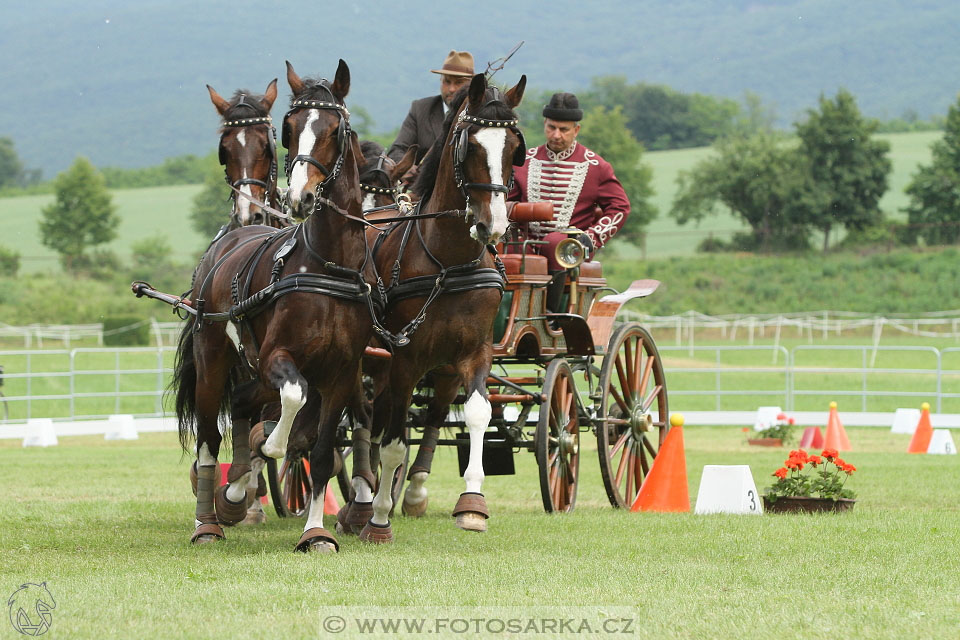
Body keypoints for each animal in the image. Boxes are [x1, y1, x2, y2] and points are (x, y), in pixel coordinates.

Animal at [172, 57, 372, 552]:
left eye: (335, 129)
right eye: (289, 128)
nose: (301, 197)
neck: (328, 264)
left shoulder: (342, 373)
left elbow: (321, 453)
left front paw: (316, 532)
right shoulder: (275, 358)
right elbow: (290, 405)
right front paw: (270, 452)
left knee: (244, 406)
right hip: (214, 358)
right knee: (210, 436)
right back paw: (209, 521)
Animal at [344, 72, 524, 544]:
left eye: (514, 148)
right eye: (471, 145)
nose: (493, 225)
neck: (447, 260)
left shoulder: (475, 351)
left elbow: (476, 413)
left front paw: (473, 505)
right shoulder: (404, 359)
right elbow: (391, 438)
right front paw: (378, 517)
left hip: (432, 369)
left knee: (424, 414)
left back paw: (408, 492)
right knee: (363, 419)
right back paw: (361, 501)